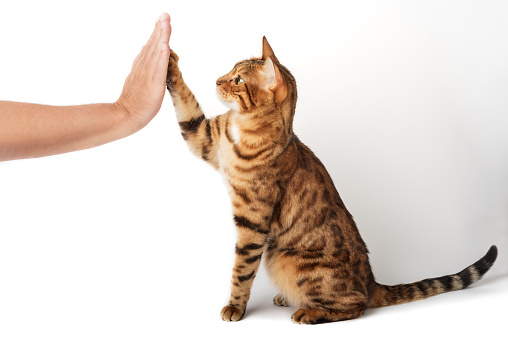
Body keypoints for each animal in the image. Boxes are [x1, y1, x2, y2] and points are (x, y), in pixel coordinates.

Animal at [165, 36, 498, 324]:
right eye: (231, 71)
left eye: (238, 80)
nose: (217, 81)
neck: (241, 128)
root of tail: (372, 282)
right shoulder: (204, 137)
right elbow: (186, 103)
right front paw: (168, 61)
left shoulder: (252, 222)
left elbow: (241, 271)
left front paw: (235, 306)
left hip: (285, 259)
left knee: (356, 306)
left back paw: (308, 312)